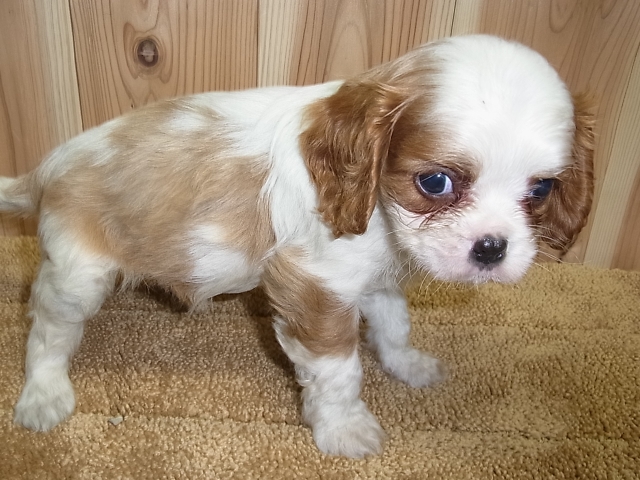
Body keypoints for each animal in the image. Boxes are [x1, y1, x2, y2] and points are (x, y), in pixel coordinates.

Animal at [0, 35, 594, 458]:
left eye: (541, 190)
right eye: (435, 183)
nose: (492, 248)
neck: (375, 210)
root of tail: (46, 168)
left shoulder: (372, 276)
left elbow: (394, 323)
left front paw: (406, 364)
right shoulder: (315, 285)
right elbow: (340, 369)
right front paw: (346, 429)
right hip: (79, 274)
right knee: (48, 328)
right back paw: (43, 394)